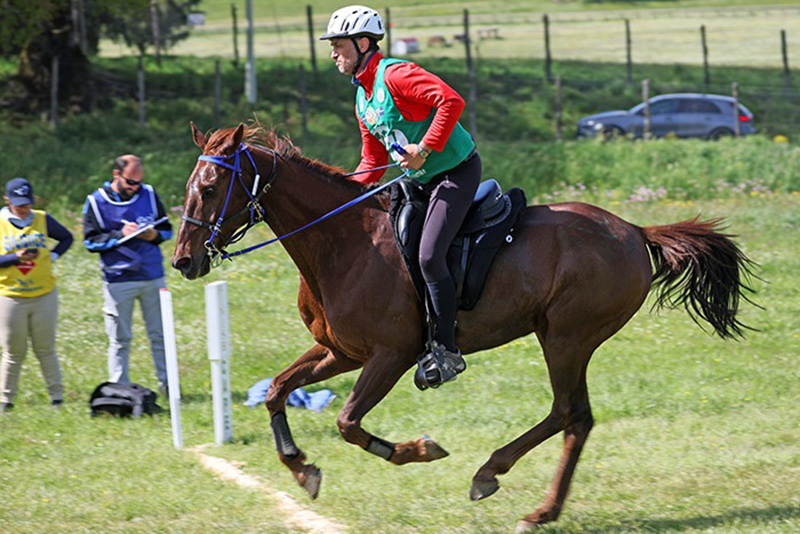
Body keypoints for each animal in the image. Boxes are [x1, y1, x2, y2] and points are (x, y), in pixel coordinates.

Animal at [172, 123, 752, 532]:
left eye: (212, 186)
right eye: (189, 186)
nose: (182, 261)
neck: (341, 243)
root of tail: (633, 230)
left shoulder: (389, 356)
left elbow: (348, 422)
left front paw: (417, 450)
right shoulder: (339, 352)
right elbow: (276, 391)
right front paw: (301, 468)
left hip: (566, 337)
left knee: (570, 413)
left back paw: (510, 488)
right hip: (561, 337)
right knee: (574, 416)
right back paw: (520, 493)